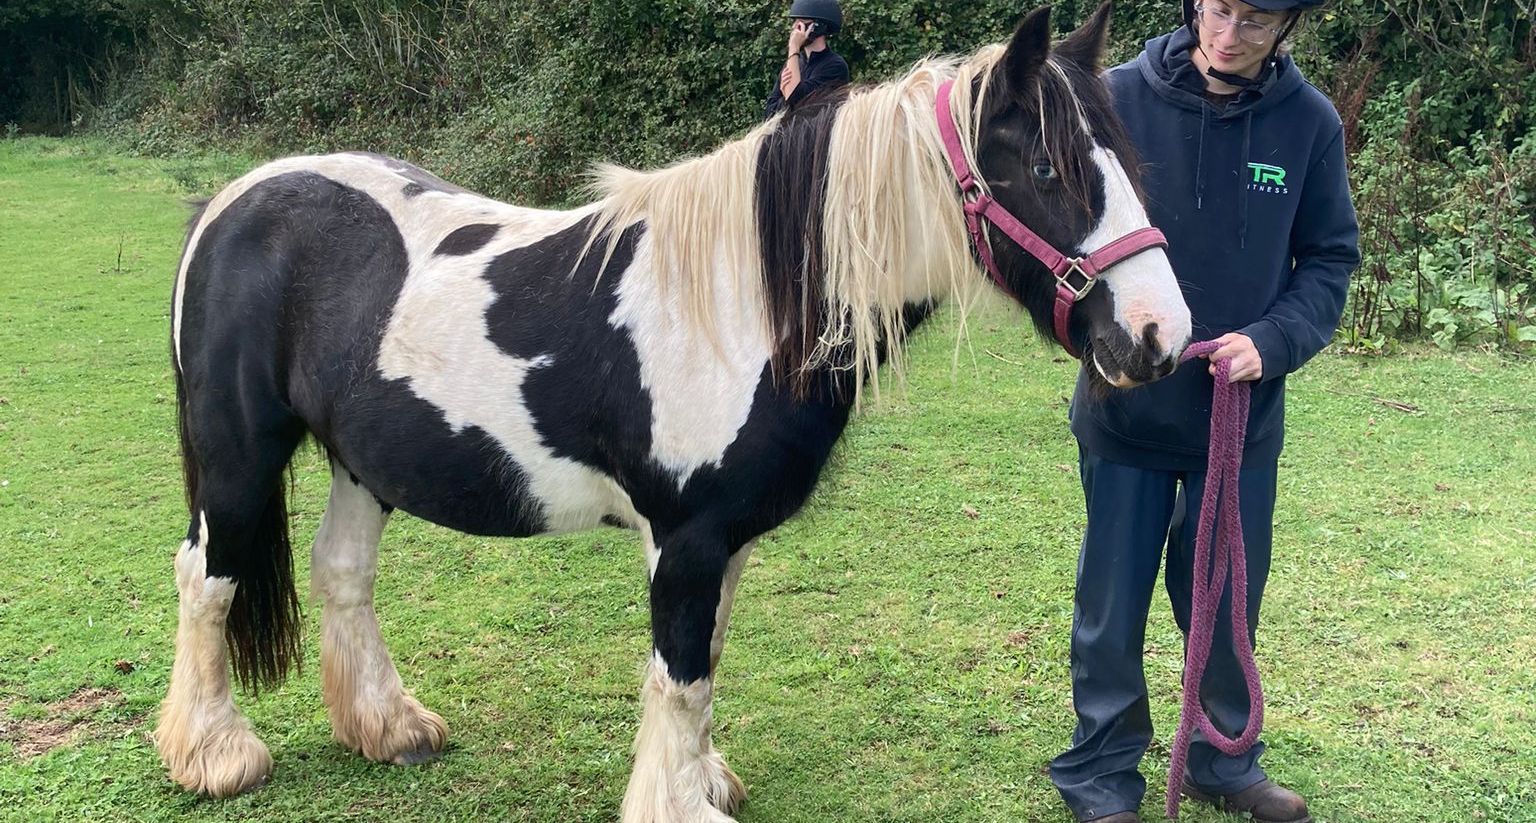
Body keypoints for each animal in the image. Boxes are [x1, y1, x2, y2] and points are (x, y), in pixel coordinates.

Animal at [154, 4, 1191, 820]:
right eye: (1049, 171)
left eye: (1131, 163)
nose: (1159, 336)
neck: (741, 305)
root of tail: (234, 200)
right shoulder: (685, 538)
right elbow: (683, 677)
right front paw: (683, 805)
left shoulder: (726, 539)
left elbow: (703, 665)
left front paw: (702, 781)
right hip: (238, 456)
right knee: (207, 577)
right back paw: (215, 753)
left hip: (364, 461)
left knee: (341, 572)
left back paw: (388, 725)